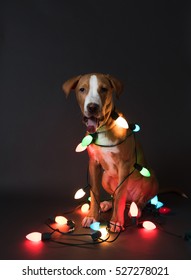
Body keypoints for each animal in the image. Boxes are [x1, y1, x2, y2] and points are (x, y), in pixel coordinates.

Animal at [62, 72, 158, 232]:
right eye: (82, 89)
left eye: (104, 89)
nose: (92, 107)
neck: (102, 130)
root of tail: (131, 199)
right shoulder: (93, 163)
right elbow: (94, 191)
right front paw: (92, 216)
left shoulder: (124, 165)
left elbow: (120, 195)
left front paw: (116, 222)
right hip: (105, 178)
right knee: (116, 197)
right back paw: (107, 204)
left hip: (150, 179)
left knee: (141, 199)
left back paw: (136, 208)